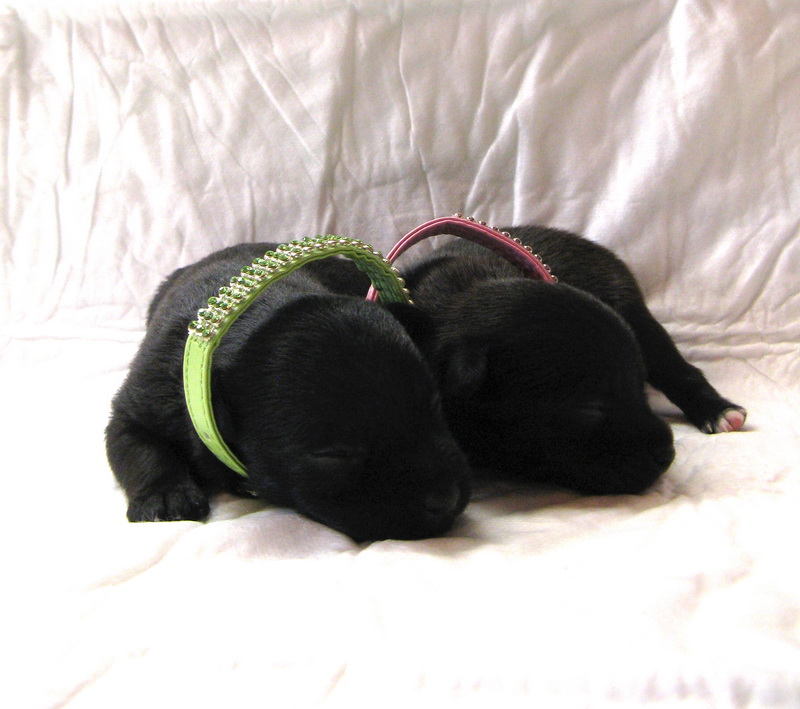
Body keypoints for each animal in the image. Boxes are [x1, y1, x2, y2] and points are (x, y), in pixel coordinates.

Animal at [105, 242, 470, 542]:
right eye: (335, 455)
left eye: (435, 406)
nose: (447, 499)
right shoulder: (143, 402)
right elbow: (139, 447)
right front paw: (165, 495)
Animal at [399, 225, 746, 495]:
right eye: (590, 409)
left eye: (637, 389)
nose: (668, 454)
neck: (460, 296)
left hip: (637, 318)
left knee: (680, 371)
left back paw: (720, 411)